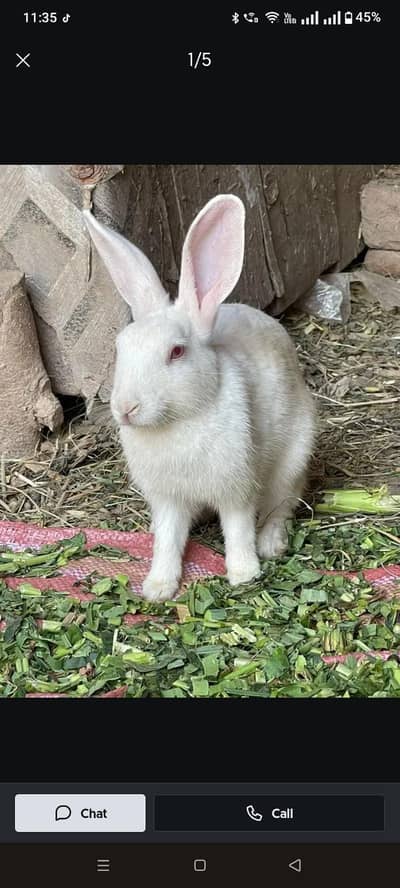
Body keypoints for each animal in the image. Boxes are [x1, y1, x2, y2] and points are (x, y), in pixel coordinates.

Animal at [83, 194, 316, 602]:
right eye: (120, 347)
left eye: (176, 352)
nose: (126, 408)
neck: (181, 419)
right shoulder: (167, 499)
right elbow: (167, 539)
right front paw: (157, 587)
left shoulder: (237, 487)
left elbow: (238, 530)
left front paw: (244, 575)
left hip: (293, 458)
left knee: (282, 504)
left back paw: (271, 544)